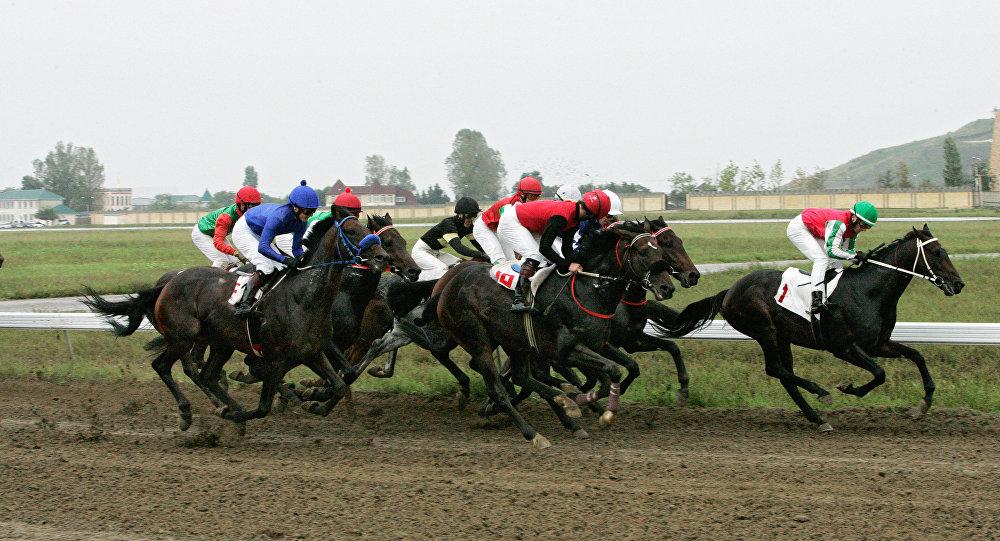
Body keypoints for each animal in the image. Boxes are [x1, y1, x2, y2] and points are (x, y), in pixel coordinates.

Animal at [84, 213, 388, 428]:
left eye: (369, 231)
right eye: (352, 231)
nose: (382, 256)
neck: (303, 297)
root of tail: (167, 283)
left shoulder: (312, 350)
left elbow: (340, 383)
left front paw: (314, 403)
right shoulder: (275, 359)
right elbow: (264, 405)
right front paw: (243, 413)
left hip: (221, 343)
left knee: (206, 374)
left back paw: (226, 406)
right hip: (183, 337)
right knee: (166, 366)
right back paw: (190, 412)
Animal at [660, 224, 964, 430]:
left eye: (945, 250)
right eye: (935, 252)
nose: (958, 284)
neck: (869, 291)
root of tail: (729, 291)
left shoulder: (878, 344)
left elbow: (917, 356)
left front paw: (923, 404)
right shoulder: (843, 347)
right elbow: (879, 374)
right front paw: (848, 388)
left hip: (782, 337)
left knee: (785, 376)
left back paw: (817, 419)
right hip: (765, 331)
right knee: (775, 369)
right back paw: (821, 393)